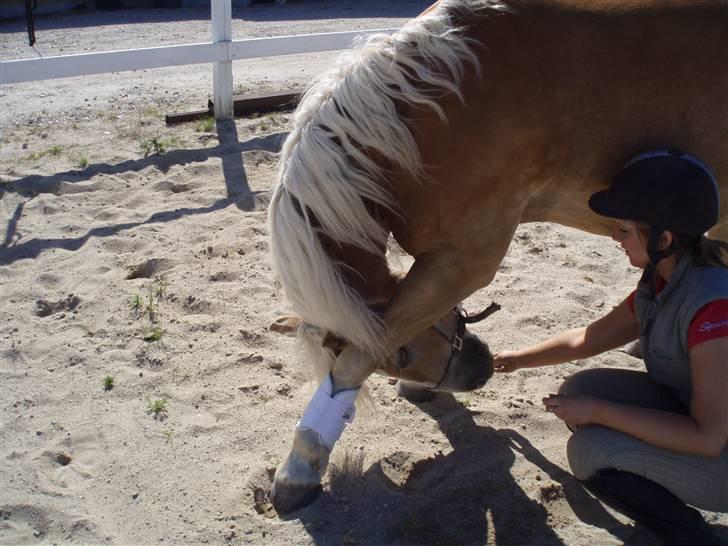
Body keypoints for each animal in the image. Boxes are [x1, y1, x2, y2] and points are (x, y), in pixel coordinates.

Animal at [266, 0, 728, 510]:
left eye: (404, 355)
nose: (483, 368)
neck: (430, 122)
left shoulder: (467, 260)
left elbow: (351, 363)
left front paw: (300, 467)